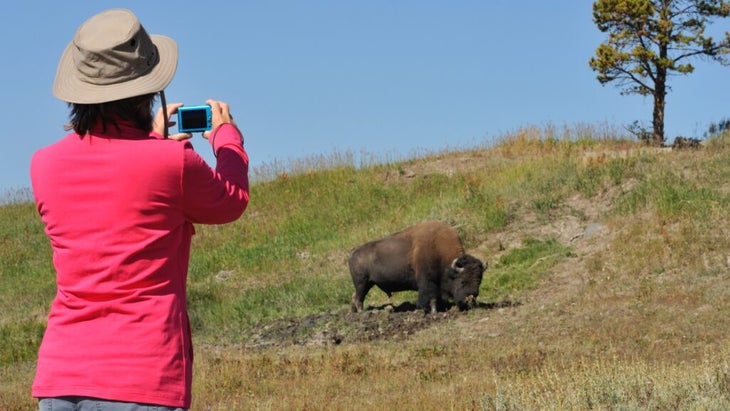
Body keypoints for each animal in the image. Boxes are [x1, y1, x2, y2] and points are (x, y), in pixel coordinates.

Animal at [346, 220, 484, 314]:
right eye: (462, 281)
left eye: (479, 281)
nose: (470, 300)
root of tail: (353, 252)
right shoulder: (427, 282)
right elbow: (430, 297)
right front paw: (432, 311)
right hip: (362, 283)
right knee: (358, 298)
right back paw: (362, 313)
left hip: (368, 283)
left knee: (354, 296)